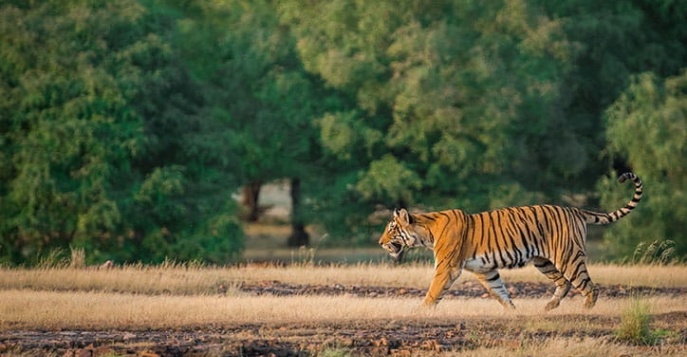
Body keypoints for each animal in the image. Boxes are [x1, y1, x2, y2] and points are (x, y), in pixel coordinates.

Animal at [378, 172, 644, 308]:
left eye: (391, 229)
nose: (380, 242)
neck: (427, 231)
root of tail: (575, 210)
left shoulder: (447, 267)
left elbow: (434, 291)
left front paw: (421, 311)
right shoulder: (485, 270)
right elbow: (500, 293)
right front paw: (513, 312)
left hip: (568, 256)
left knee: (589, 287)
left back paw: (584, 311)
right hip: (544, 261)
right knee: (565, 283)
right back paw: (548, 307)